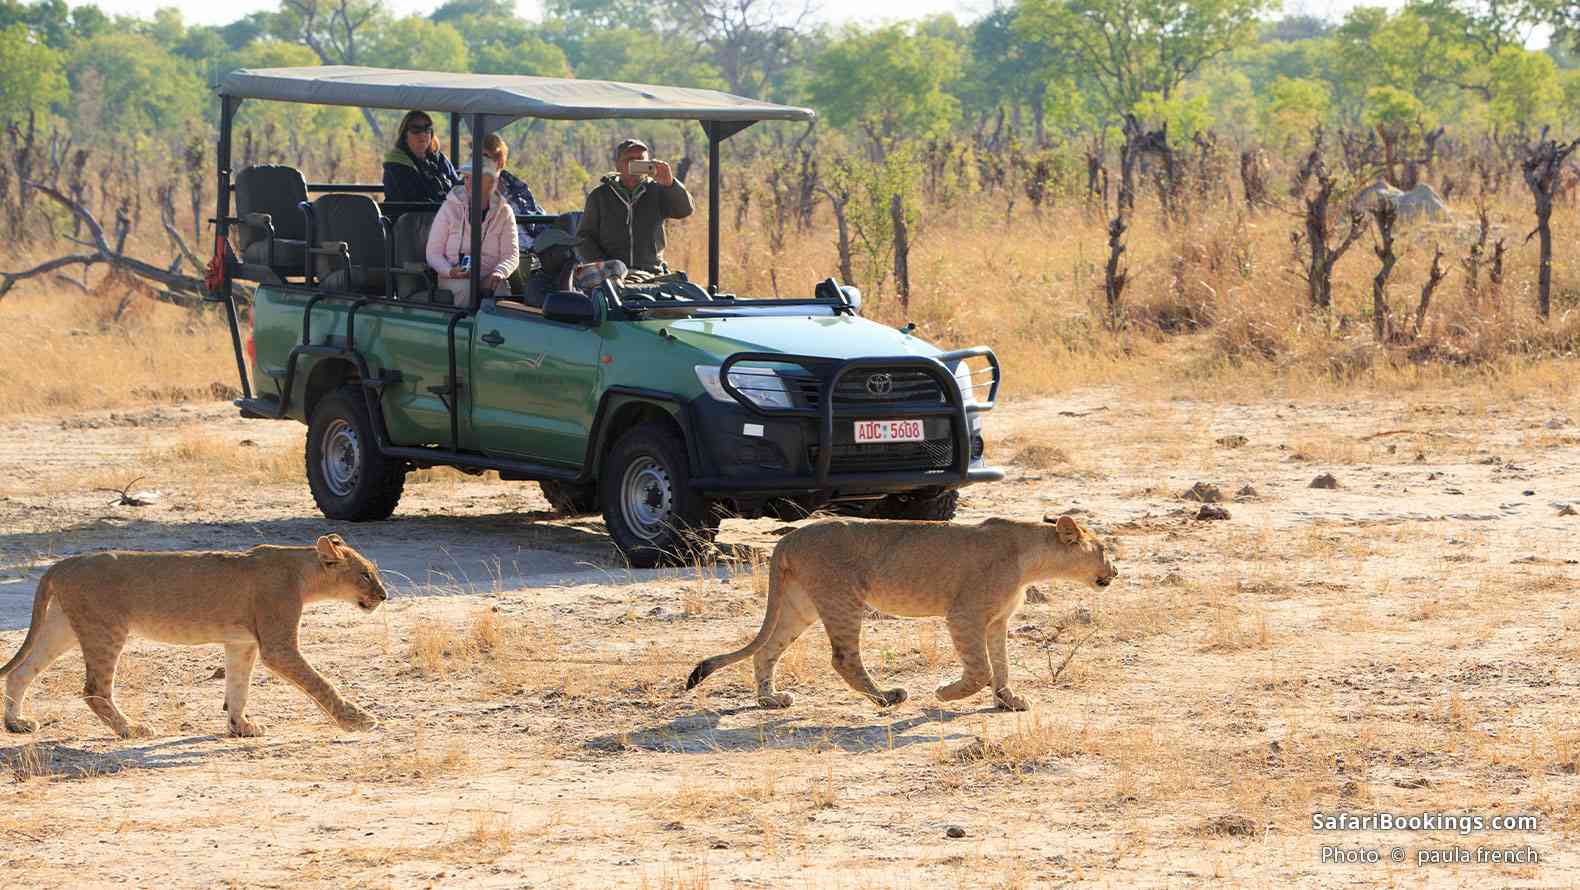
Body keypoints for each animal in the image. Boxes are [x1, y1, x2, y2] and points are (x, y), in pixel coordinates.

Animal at [1, 535, 387, 739]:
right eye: (366, 574)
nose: (383, 595)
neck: (303, 574)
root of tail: (61, 563)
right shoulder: (277, 647)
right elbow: (320, 683)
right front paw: (357, 719)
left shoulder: (241, 643)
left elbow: (238, 687)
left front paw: (241, 726)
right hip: (105, 630)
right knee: (94, 689)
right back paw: (131, 729)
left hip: (63, 627)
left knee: (21, 671)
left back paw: (16, 723)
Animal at [687, 515, 1118, 711]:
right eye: (1103, 550)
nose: (1115, 572)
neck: (1030, 559)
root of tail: (785, 540)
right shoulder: (964, 614)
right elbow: (981, 669)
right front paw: (946, 693)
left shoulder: (997, 620)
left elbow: (1002, 664)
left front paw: (1008, 701)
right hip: (842, 598)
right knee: (843, 658)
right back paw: (886, 697)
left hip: (799, 604)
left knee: (766, 650)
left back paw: (770, 700)